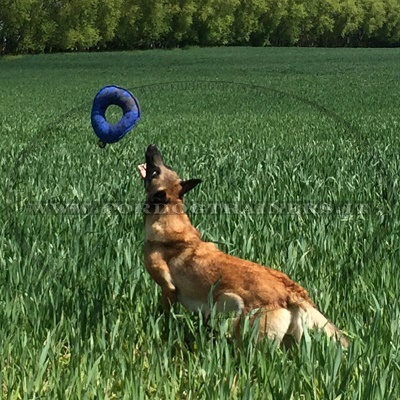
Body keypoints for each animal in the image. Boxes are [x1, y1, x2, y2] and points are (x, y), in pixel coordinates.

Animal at [138, 144, 346, 346]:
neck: (169, 216)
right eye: (165, 166)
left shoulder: (167, 289)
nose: (152, 146)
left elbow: (165, 313)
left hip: (244, 327)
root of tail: (290, 291)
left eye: (155, 172)